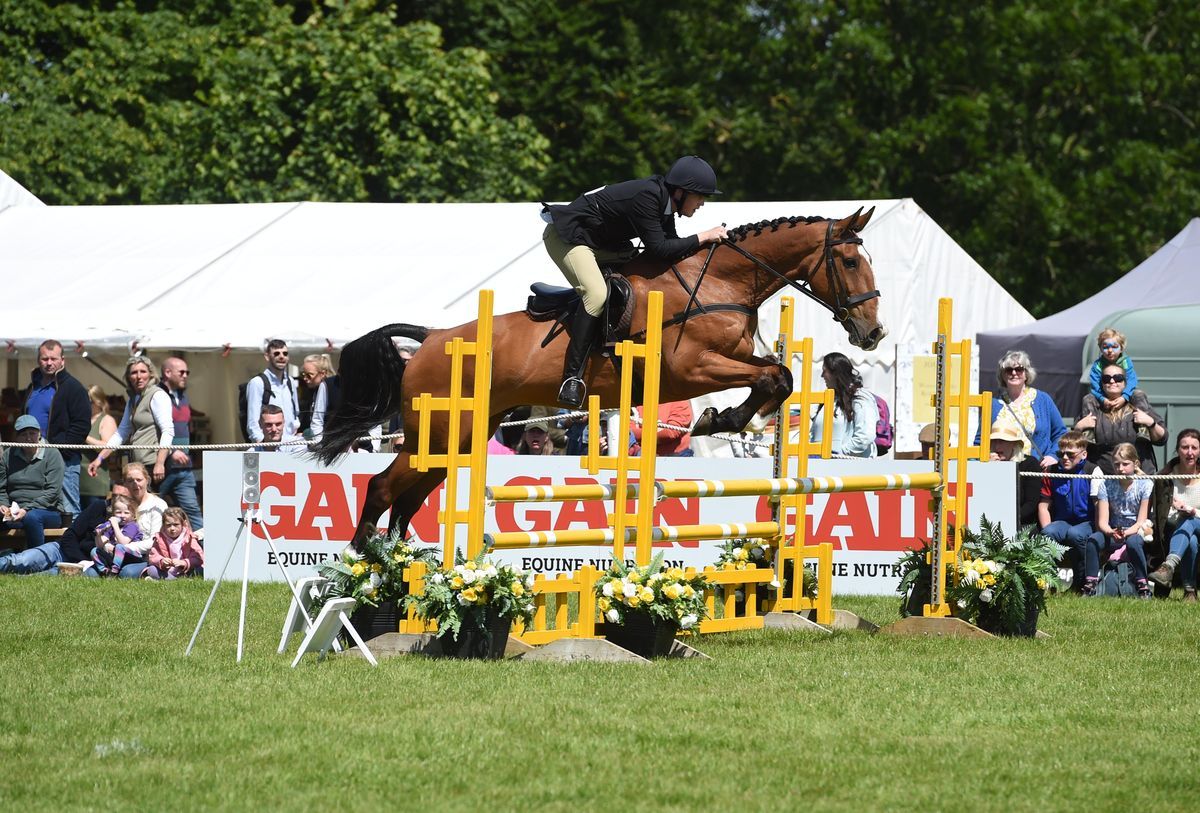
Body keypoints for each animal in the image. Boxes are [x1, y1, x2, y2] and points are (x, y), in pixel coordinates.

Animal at [314, 207, 888, 546]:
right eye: (850, 261)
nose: (873, 333)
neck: (721, 281)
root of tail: (431, 338)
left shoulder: (728, 361)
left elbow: (778, 375)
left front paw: (728, 418)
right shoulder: (691, 368)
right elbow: (775, 378)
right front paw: (718, 418)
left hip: (457, 437)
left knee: (408, 497)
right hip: (435, 433)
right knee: (383, 488)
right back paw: (362, 581)